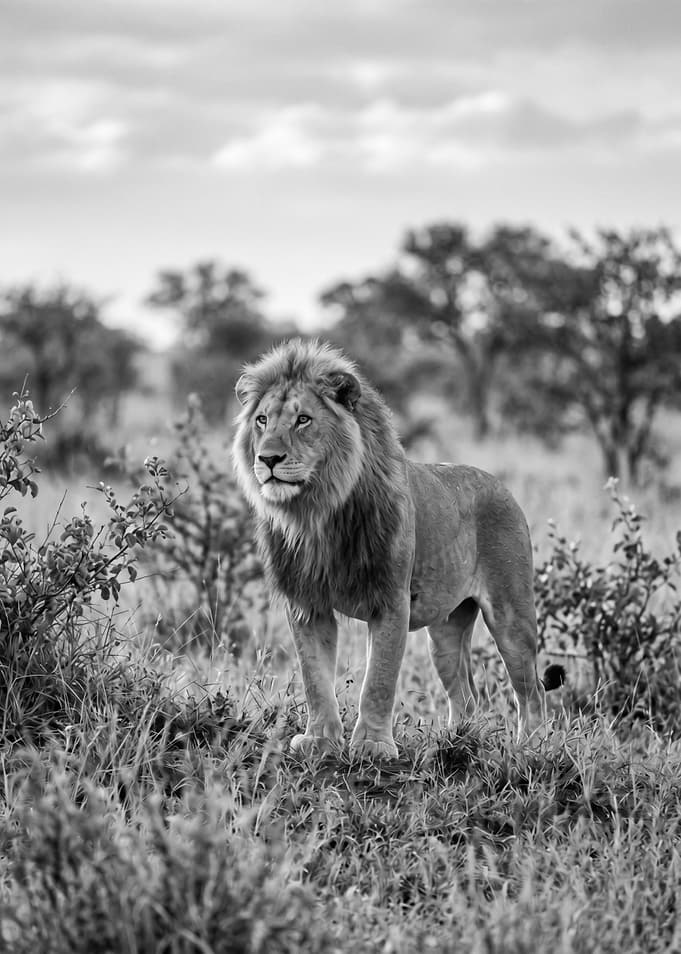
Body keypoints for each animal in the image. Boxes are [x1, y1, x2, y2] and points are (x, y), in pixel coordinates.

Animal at [232, 338, 563, 758]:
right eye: (261, 420)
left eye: (303, 420)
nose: (268, 458)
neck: (316, 512)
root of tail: (500, 484)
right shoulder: (307, 603)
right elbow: (314, 676)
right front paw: (320, 739)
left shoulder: (390, 600)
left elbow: (379, 678)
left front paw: (372, 745)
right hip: (445, 632)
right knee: (465, 691)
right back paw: (456, 743)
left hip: (511, 615)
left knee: (531, 688)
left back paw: (531, 747)